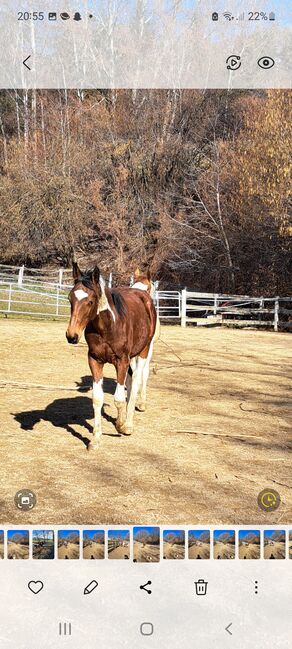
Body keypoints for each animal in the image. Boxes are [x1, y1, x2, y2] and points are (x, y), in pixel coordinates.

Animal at [66, 264, 157, 450]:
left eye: (90, 301)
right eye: (70, 299)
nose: (71, 336)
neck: (108, 326)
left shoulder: (121, 361)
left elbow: (119, 398)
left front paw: (121, 425)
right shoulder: (95, 360)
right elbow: (97, 398)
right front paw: (95, 439)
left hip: (144, 351)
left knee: (137, 380)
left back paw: (128, 422)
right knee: (131, 381)